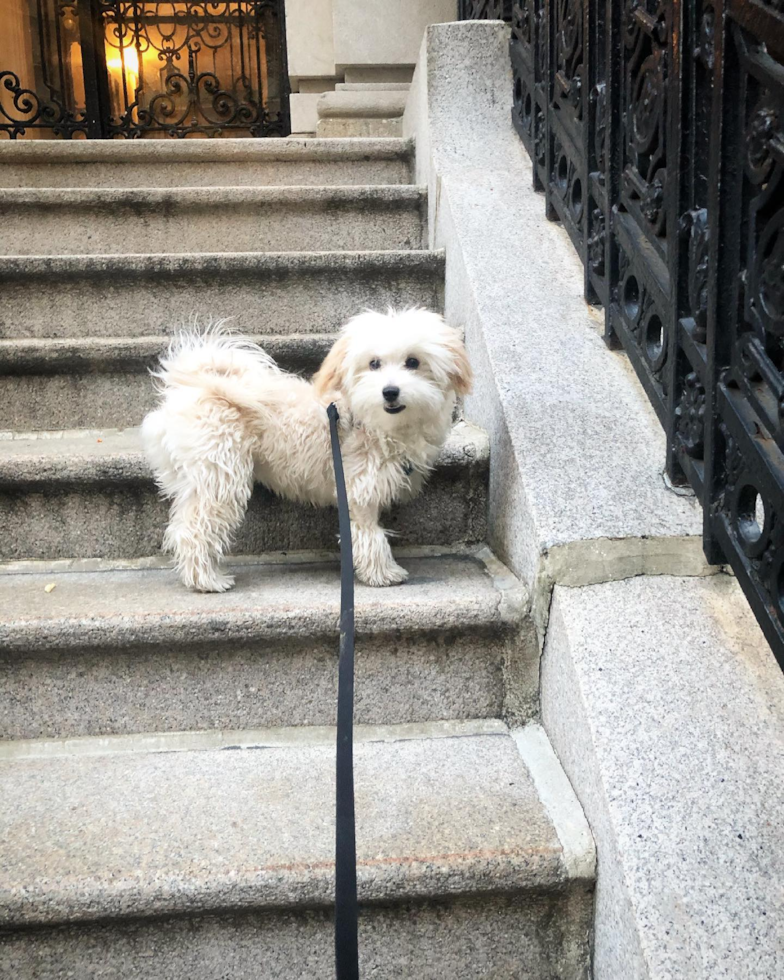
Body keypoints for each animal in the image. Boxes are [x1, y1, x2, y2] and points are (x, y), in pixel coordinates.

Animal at [141, 310, 472, 592]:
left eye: (413, 362)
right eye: (374, 363)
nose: (390, 392)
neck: (367, 419)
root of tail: (194, 384)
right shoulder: (360, 489)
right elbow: (368, 534)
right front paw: (382, 573)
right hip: (220, 473)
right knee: (195, 528)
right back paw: (207, 579)